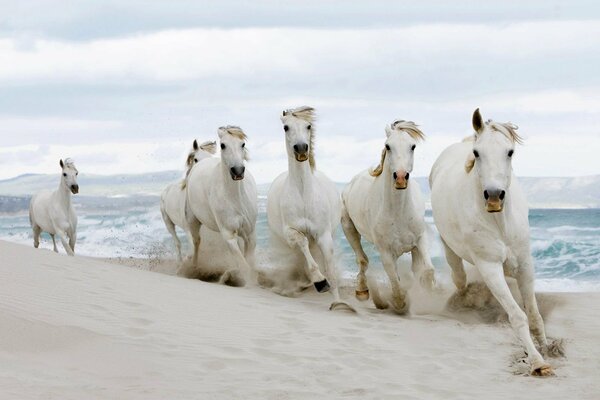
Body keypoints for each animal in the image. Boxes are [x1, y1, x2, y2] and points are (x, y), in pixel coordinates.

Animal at [184, 126, 256, 282]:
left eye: (243, 144)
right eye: (223, 145)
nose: (238, 171)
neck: (236, 199)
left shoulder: (250, 235)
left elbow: (248, 262)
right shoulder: (229, 235)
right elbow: (245, 266)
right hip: (193, 221)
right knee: (196, 242)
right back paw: (193, 269)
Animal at [268, 106, 346, 310]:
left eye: (308, 126)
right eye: (286, 127)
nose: (302, 148)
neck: (303, 195)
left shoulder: (324, 235)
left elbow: (330, 268)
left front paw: (339, 304)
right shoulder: (291, 232)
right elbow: (302, 243)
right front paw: (319, 281)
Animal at [342, 119, 436, 312]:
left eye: (413, 146)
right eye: (388, 146)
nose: (400, 178)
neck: (398, 212)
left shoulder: (420, 240)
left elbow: (428, 270)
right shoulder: (385, 250)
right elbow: (394, 279)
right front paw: (399, 303)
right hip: (348, 228)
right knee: (362, 259)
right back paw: (362, 291)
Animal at [432, 108, 552, 376]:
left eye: (510, 152)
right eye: (477, 153)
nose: (494, 196)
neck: (500, 223)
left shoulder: (525, 265)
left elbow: (534, 314)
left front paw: (548, 349)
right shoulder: (490, 268)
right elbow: (518, 316)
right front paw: (537, 362)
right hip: (451, 250)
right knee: (459, 278)